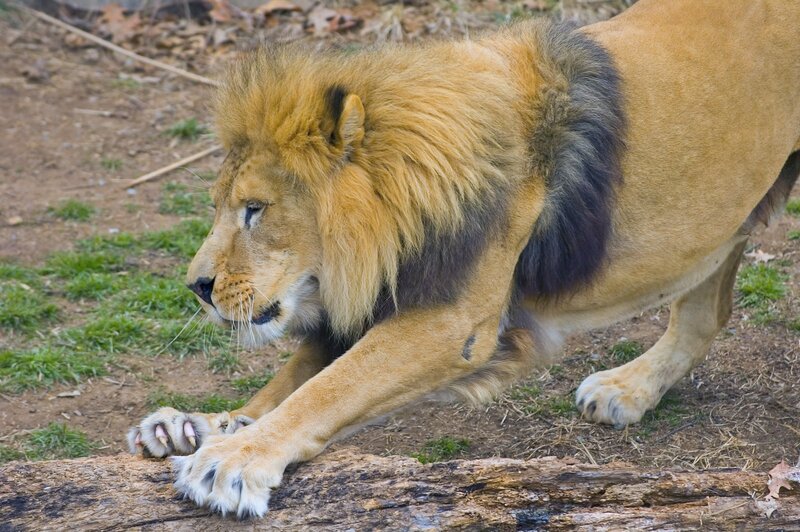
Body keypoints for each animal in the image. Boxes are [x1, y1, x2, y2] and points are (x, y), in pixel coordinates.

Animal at [127, 0, 800, 518]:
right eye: (222, 206)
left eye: (255, 209)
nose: (197, 286)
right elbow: (289, 385)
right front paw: (197, 426)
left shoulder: (451, 324)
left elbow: (325, 391)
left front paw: (230, 460)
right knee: (705, 313)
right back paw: (630, 389)